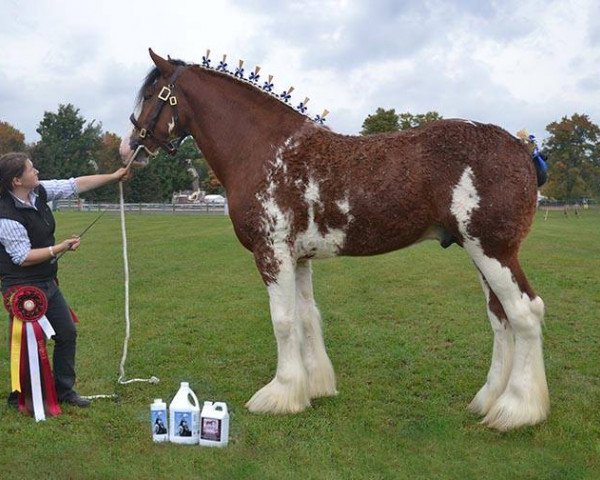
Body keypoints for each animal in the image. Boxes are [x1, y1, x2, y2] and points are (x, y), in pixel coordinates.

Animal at [119, 49, 552, 432]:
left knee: (525, 313)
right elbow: (307, 316)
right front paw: (312, 387)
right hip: (480, 253)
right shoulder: (298, 258)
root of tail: (521, 147)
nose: (129, 148)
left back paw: (516, 409)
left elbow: (283, 321)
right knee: (500, 318)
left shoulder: (272, 253)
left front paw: (279, 394)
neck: (265, 150)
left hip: (493, 251)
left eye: (151, 96)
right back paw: (489, 400)